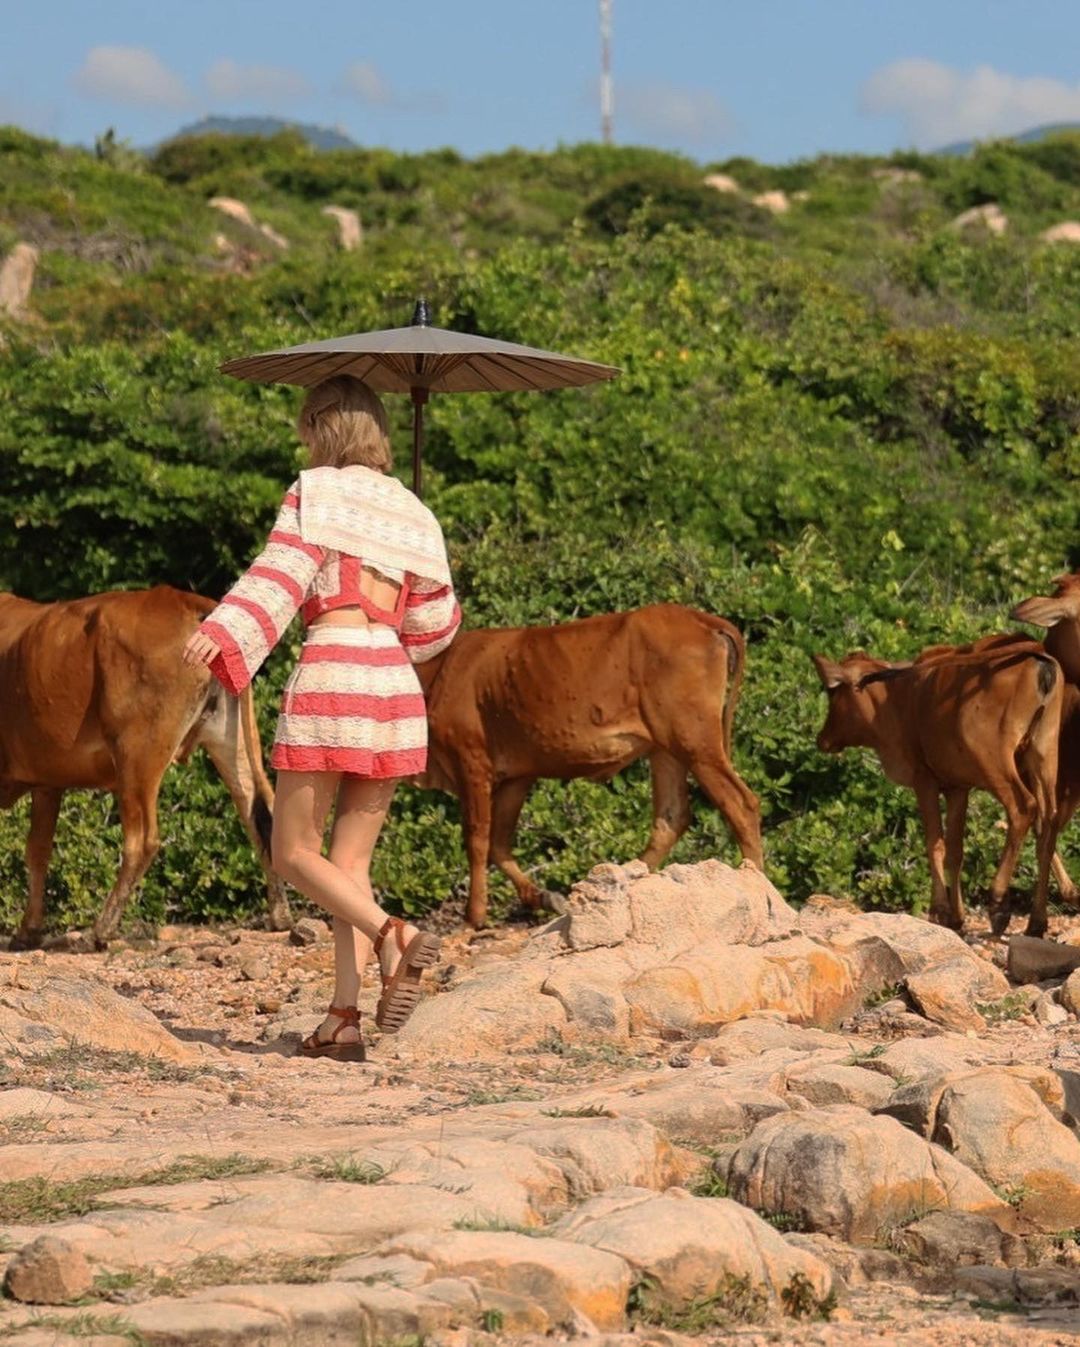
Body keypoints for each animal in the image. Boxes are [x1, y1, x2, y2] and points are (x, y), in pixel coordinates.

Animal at [0, 587, 290, 948]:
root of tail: (183, 600)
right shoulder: (47, 782)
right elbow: (38, 851)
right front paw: (29, 930)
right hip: (227, 739)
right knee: (258, 812)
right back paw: (280, 915)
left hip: (136, 754)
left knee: (142, 840)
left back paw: (101, 929)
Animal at [409, 608, 759, 932]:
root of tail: (702, 619)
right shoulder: (516, 777)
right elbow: (498, 843)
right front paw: (543, 897)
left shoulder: (471, 762)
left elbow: (477, 839)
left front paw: (473, 918)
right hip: (665, 748)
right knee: (671, 818)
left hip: (695, 742)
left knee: (740, 805)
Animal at [813, 646, 1055, 932]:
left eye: (833, 692)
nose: (822, 739)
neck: (896, 698)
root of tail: (1041, 666)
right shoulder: (957, 787)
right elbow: (955, 850)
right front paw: (957, 916)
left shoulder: (924, 780)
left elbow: (934, 844)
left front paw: (939, 910)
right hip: (1043, 762)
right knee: (1049, 827)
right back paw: (1037, 921)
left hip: (997, 765)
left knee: (1023, 809)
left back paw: (998, 903)